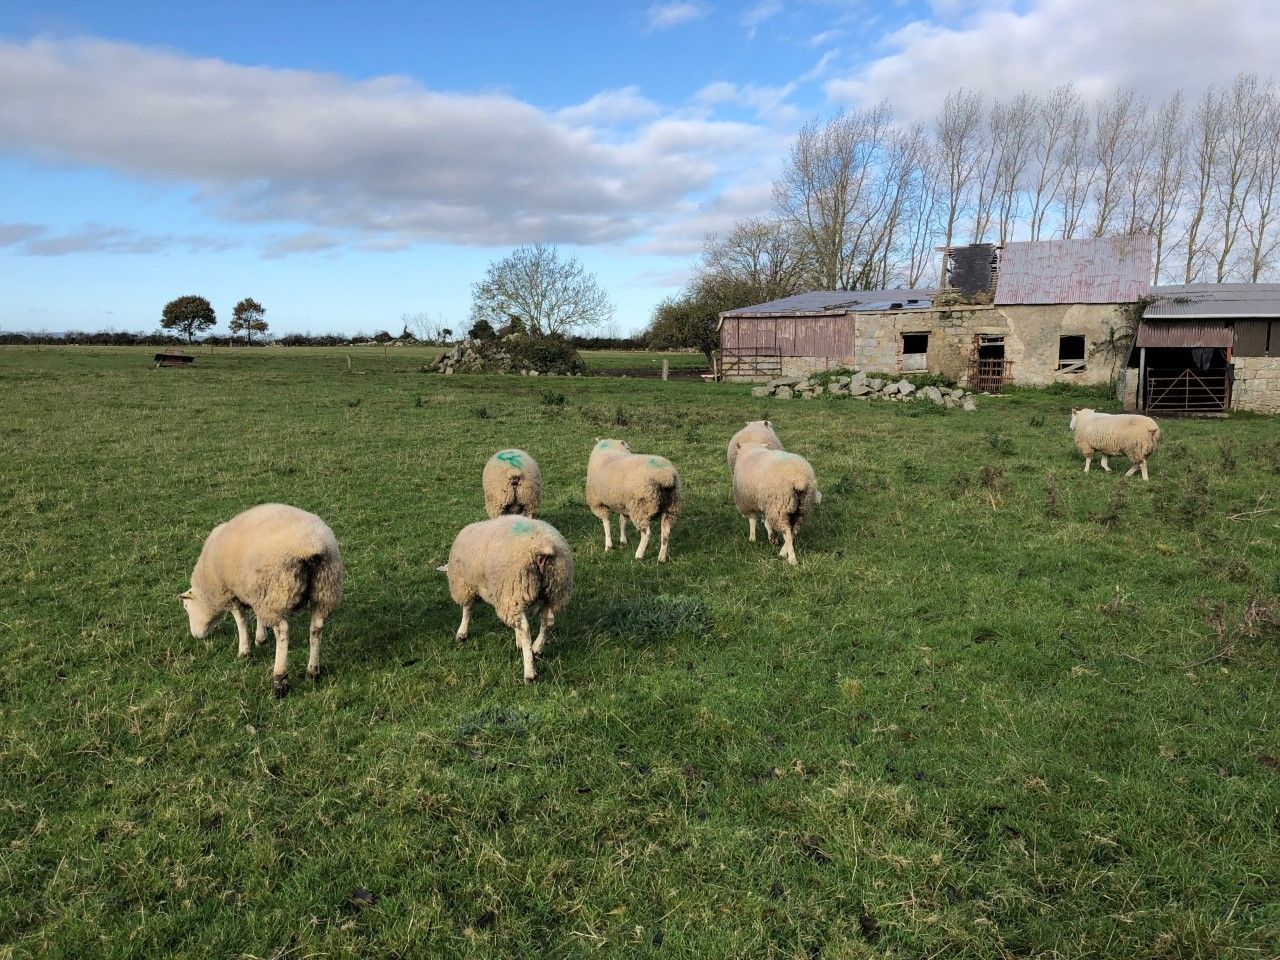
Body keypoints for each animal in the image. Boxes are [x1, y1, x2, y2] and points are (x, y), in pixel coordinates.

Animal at [181, 503, 343, 697]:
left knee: (283, 631)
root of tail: (311, 545)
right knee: (316, 628)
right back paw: (312, 672)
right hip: (324, 589)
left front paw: (244, 651)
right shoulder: (257, 592)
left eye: (186, 606)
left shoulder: (232, 593)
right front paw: (260, 639)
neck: (208, 587)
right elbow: (257, 616)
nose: (195, 636)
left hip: (277, 589)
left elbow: (241, 621)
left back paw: (279, 680)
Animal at [438, 515, 573, 682]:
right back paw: (536, 649)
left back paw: (529, 672)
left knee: (525, 628)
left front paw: (462, 633)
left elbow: (467, 610)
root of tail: (544, 546)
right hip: (555, 590)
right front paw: (518, 641)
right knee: (547, 621)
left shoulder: (466, 585)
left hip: (514, 587)